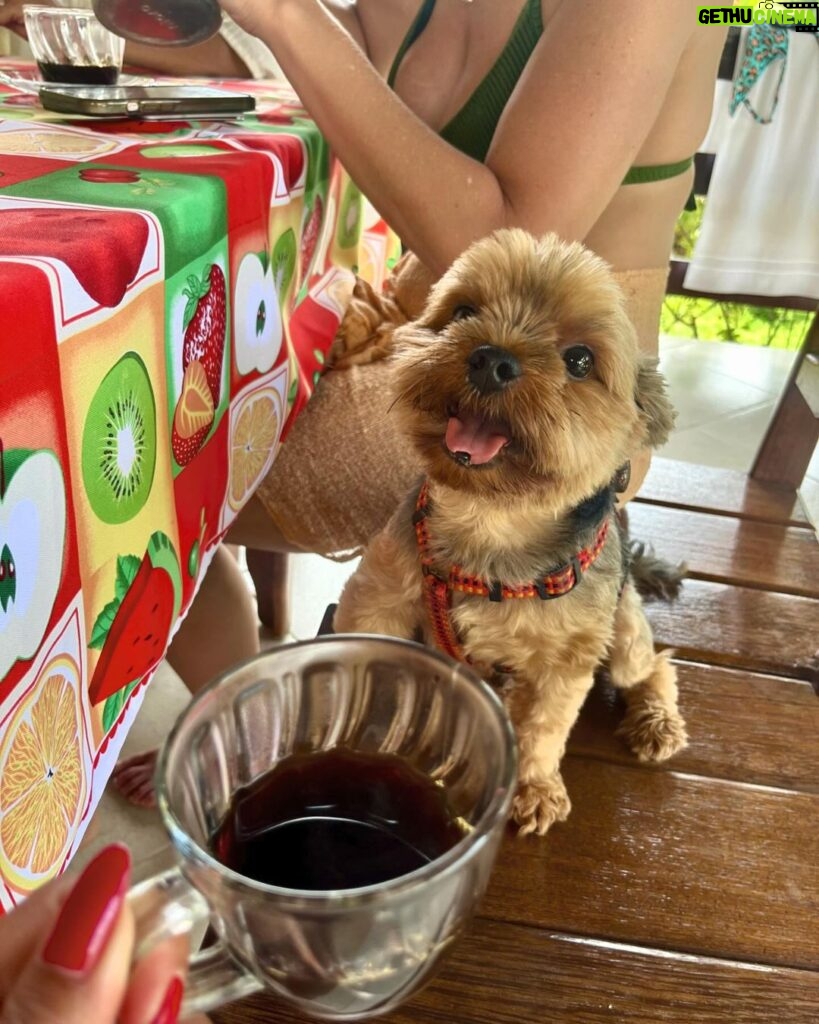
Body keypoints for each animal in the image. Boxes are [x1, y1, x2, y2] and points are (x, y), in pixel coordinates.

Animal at [331, 234, 683, 839]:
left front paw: (534, 787)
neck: (491, 524)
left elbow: (544, 725)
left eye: (580, 360)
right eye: (463, 312)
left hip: (621, 629)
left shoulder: (566, 659)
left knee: (652, 665)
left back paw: (657, 721)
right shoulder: (382, 594)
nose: (491, 360)